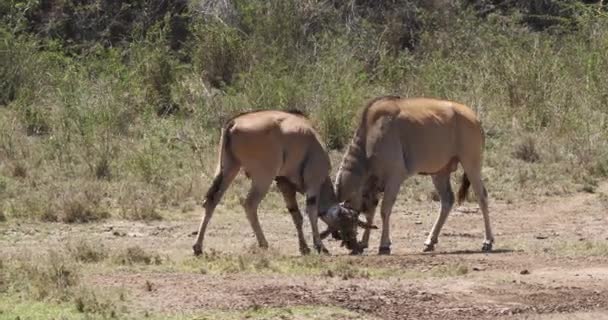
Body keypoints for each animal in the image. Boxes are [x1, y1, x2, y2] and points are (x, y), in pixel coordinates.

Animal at [191, 109, 360, 256]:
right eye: (350, 221)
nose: (356, 246)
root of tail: (234, 122)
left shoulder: (284, 185)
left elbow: (296, 215)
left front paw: (304, 248)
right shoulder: (313, 183)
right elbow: (311, 213)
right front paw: (320, 246)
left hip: (228, 169)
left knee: (211, 201)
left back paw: (198, 247)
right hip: (263, 178)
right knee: (249, 204)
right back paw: (264, 243)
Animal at [332, 96, 494, 254]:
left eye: (346, 222)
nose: (350, 246)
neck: (371, 133)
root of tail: (474, 118)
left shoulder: (394, 178)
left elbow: (384, 210)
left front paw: (384, 245)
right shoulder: (373, 185)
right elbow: (370, 212)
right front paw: (364, 243)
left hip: (471, 164)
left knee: (481, 196)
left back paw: (487, 242)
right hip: (439, 173)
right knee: (447, 200)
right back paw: (430, 242)